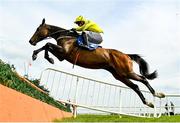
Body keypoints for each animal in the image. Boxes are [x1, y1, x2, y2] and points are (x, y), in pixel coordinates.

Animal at [28, 18, 165, 108]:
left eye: (38, 29)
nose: (30, 41)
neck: (66, 36)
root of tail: (126, 55)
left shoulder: (63, 53)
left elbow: (47, 44)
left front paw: (45, 57)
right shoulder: (62, 56)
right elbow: (46, 46)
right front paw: (39, 55)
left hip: (126, 71)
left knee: (143, 79)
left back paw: (157, 94)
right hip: (119, 75)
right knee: (135, 86)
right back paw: (148, 102)